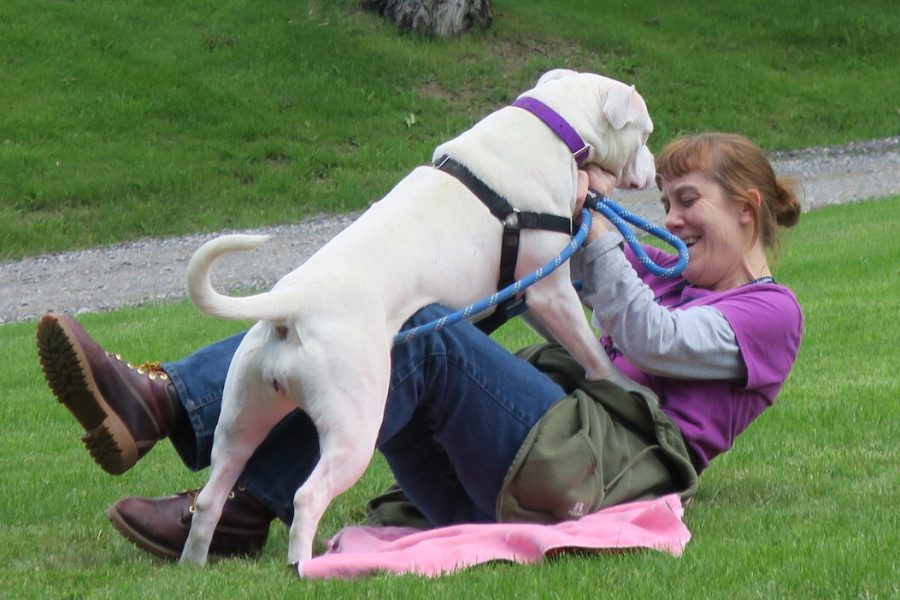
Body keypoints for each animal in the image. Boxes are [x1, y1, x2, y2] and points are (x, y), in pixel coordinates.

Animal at [181, 69, 652, 568]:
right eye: (646, 133)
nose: (654, 168)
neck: (555, 123)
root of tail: (291, 306)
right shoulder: (552, 292)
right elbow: (590, 350)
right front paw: (626, 388)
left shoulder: (532, 297)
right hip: (353, 429)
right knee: (308, 496)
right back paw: (305, 566)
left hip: (240, 421)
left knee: (211, 496)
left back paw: (193, 563)